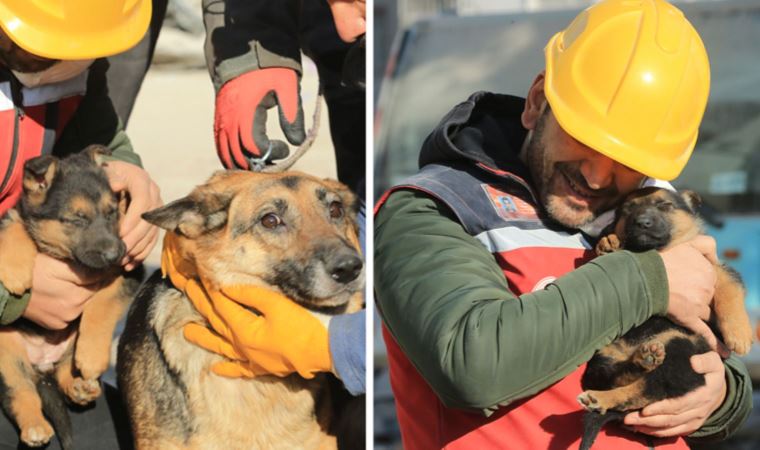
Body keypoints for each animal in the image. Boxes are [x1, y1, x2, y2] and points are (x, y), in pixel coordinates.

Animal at [0, 146, 141, 448]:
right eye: (77, 219)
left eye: (112, 213)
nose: (115, 254)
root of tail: (42, 366)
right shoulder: (19, 214)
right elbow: (13, 224)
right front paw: (14, 271)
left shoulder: (129, 273)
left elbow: (101, 304)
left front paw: (91, 357)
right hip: (5, 352)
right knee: (21, 392)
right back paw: (35, 427)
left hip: (68, 345)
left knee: (65, 371)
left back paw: (80, 387)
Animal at [580, 186, 752, 450]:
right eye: (627, 210)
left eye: (665, 206)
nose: (642, 222)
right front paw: (609, 241)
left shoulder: (714, 267)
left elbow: (729, 290)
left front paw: (739, 335)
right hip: (610, 355)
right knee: (633, 385)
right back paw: (613, 385)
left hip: (680, 347)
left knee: (648, 388)